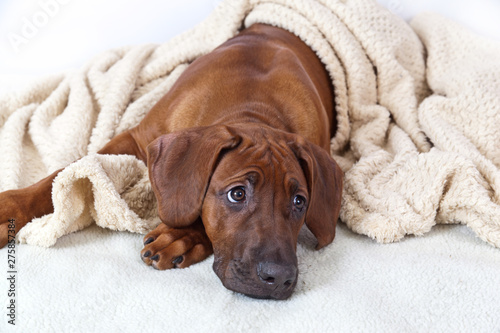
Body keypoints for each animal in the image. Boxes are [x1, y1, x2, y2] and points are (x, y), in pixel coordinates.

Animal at [0, 23, 344, 298]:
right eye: (237, 194)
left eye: (300, 201)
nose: (279, 278)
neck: (254, 106)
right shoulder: (135, 138)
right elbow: (65, 171)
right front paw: (10, 207)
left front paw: (181, 236)